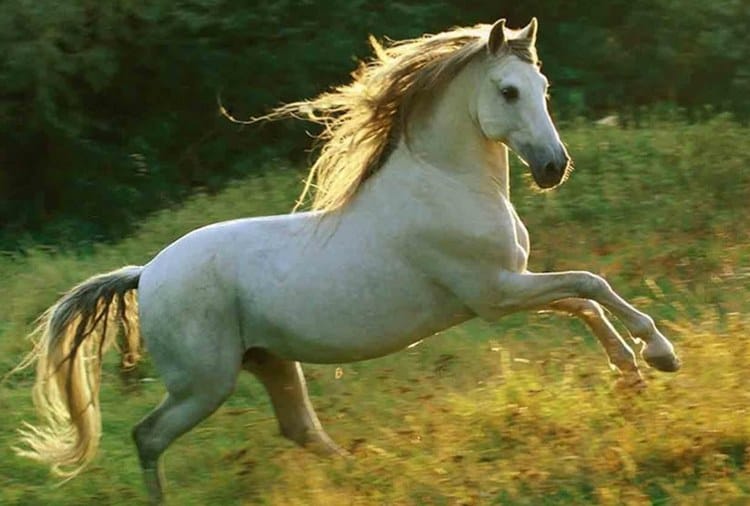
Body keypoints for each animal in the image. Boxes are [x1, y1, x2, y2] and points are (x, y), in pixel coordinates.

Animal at [15, 18, 680, 503]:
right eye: (508, 91)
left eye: (542, 89)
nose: (552, 167)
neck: (446, 183)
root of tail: (145, 273)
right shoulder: (495, 293)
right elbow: (590, 285)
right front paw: (659, 354)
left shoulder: (508, 287)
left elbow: (584, 301)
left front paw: (632, 372)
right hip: (204, 383)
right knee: (148, 436)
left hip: (268, 361)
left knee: (299, 429)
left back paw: (371, 471)